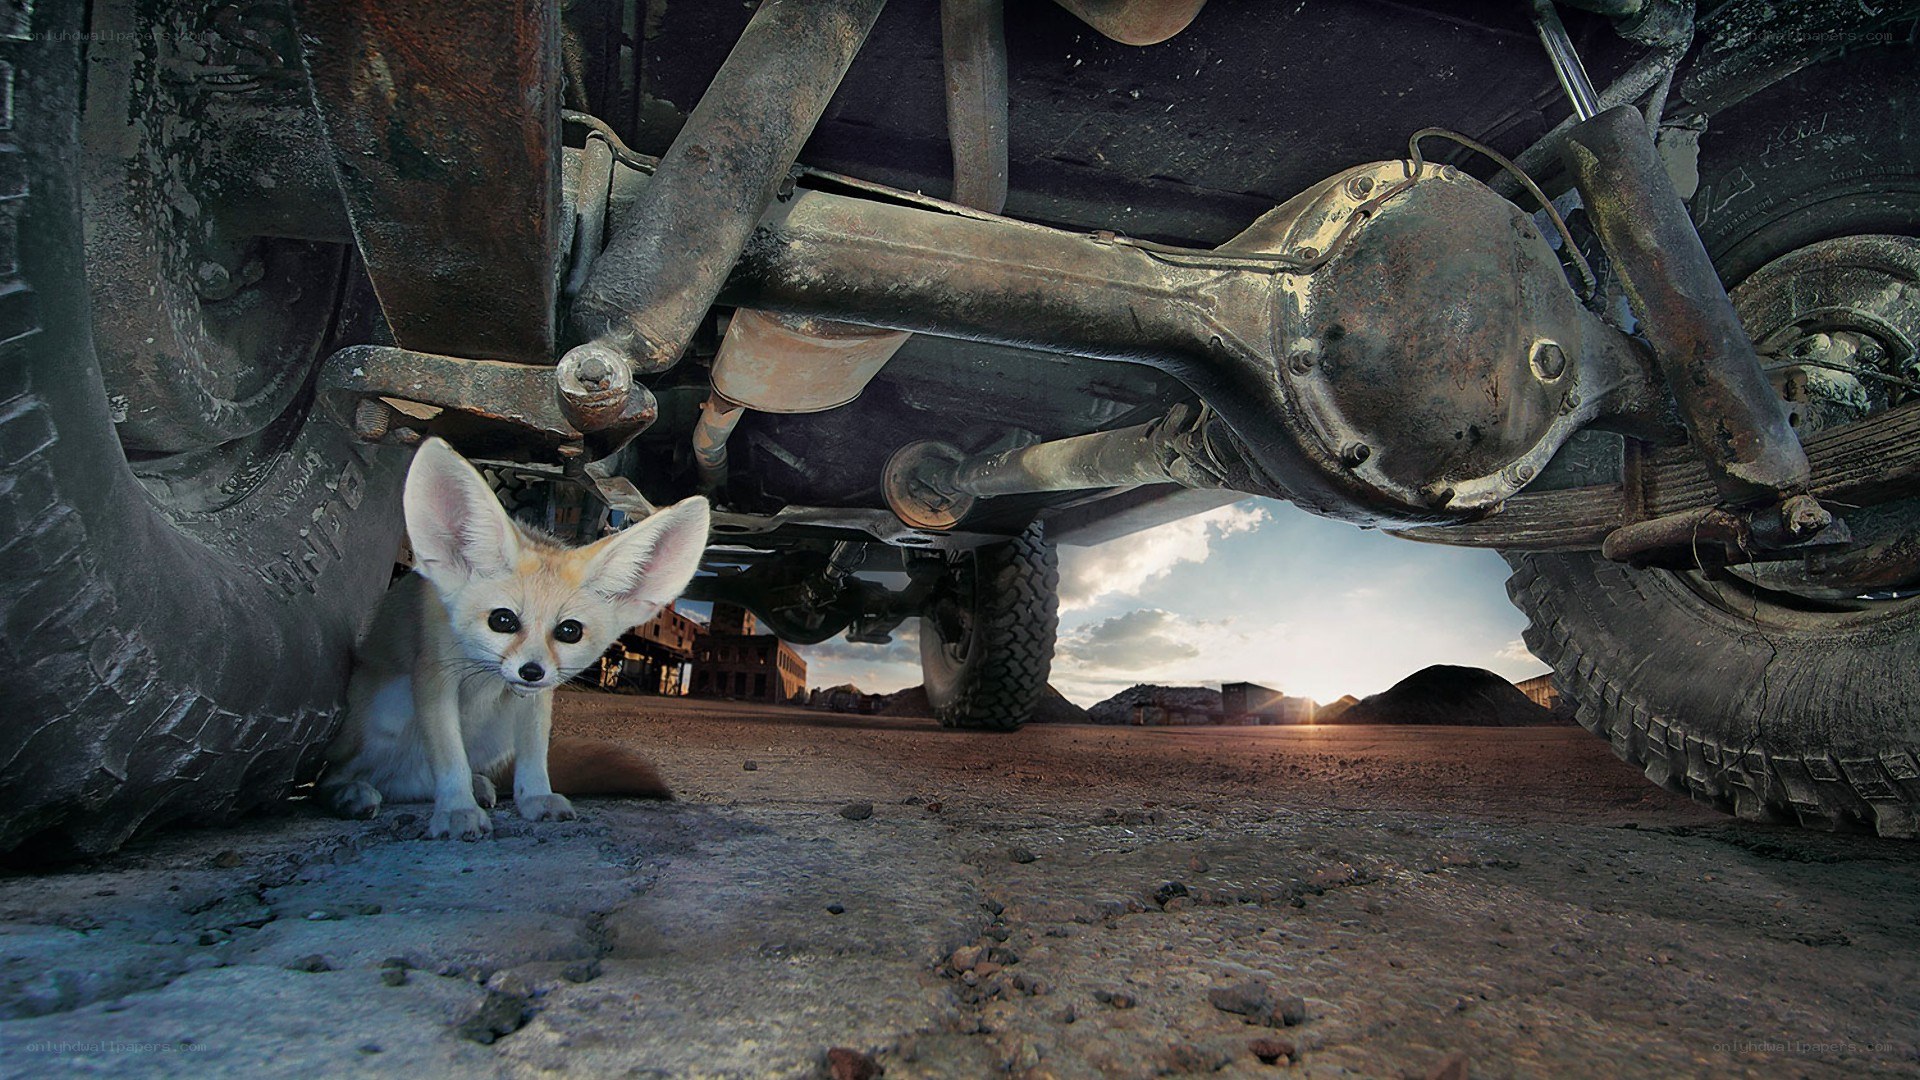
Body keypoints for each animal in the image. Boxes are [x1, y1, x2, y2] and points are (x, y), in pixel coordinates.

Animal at [318, 437, 710, 840]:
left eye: (569, 631)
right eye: (502, 620)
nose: (531, 672)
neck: (484, 676)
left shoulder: (536, 700)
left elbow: (534, 755)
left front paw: (535, 797)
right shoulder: (434, 676)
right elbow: (450, 757)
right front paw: (457, 809)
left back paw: (472, 785)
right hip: (389, 707)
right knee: (334, 778)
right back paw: (351, 793)